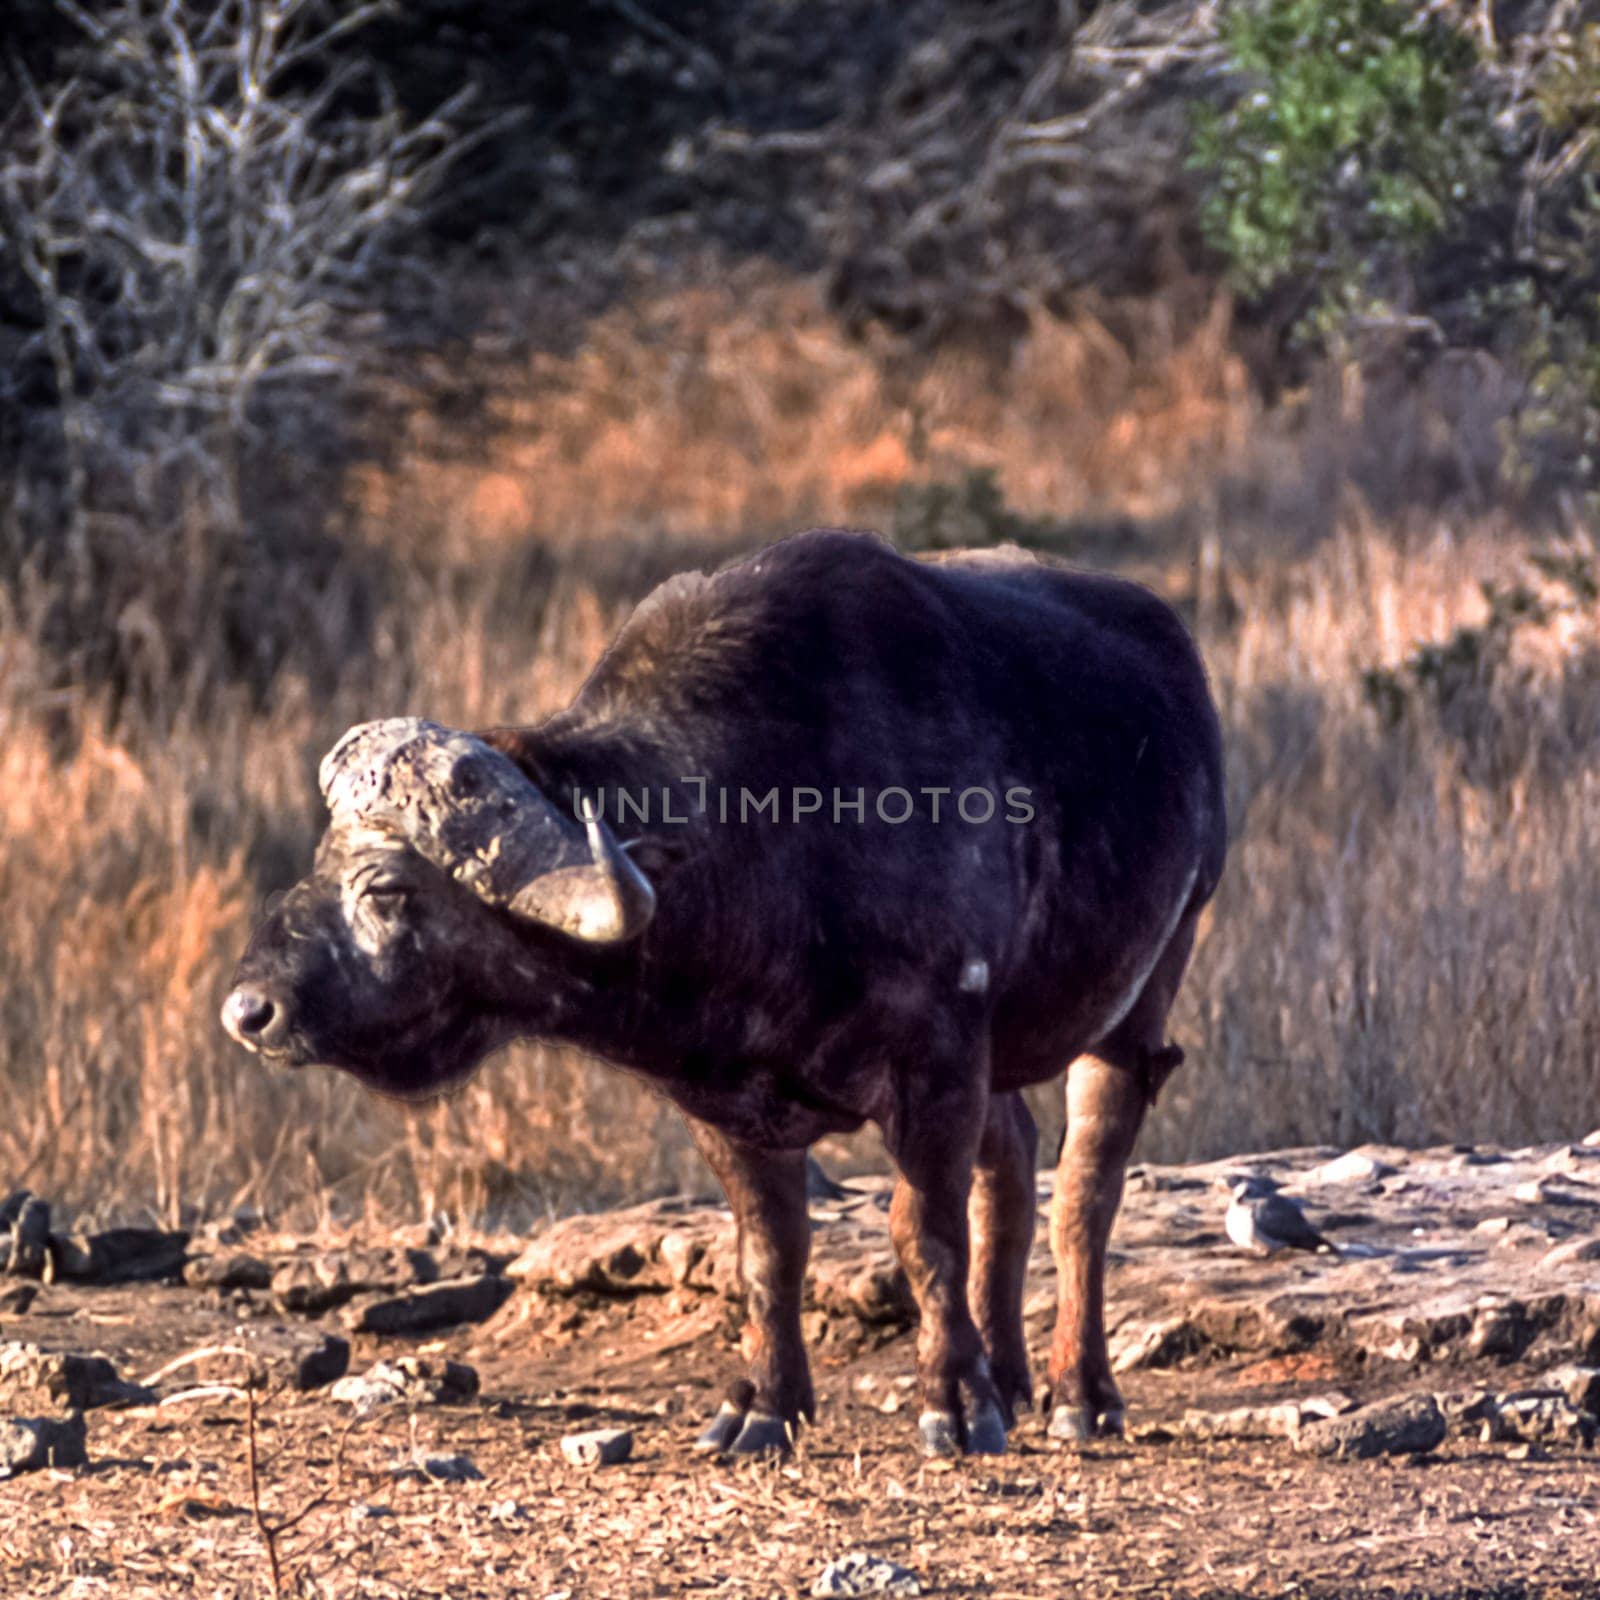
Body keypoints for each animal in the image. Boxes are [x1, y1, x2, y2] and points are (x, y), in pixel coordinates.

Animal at [222, 531, 1222, 1459]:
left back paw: (1079, 1394)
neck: (774, 838)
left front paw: (954, 1404)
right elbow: (769, 1250)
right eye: (320, 863)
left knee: (1084, 1192)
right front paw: (765, 1408)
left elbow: (924, 1235)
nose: (249, 1011)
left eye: (386, 888)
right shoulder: (724, 1104)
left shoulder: (937, 1060)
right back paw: (1010, 1379)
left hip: (1145, 989)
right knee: (1011, 1165)